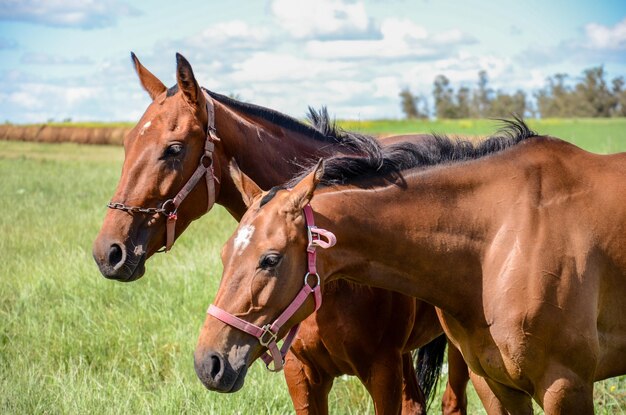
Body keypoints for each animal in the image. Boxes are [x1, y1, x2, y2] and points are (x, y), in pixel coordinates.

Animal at [197, 124, 624, 415]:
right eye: (223, 254)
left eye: (270, 259)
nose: (208, 363)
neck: (502, 236)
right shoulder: (497, 385)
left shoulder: (565, 386)